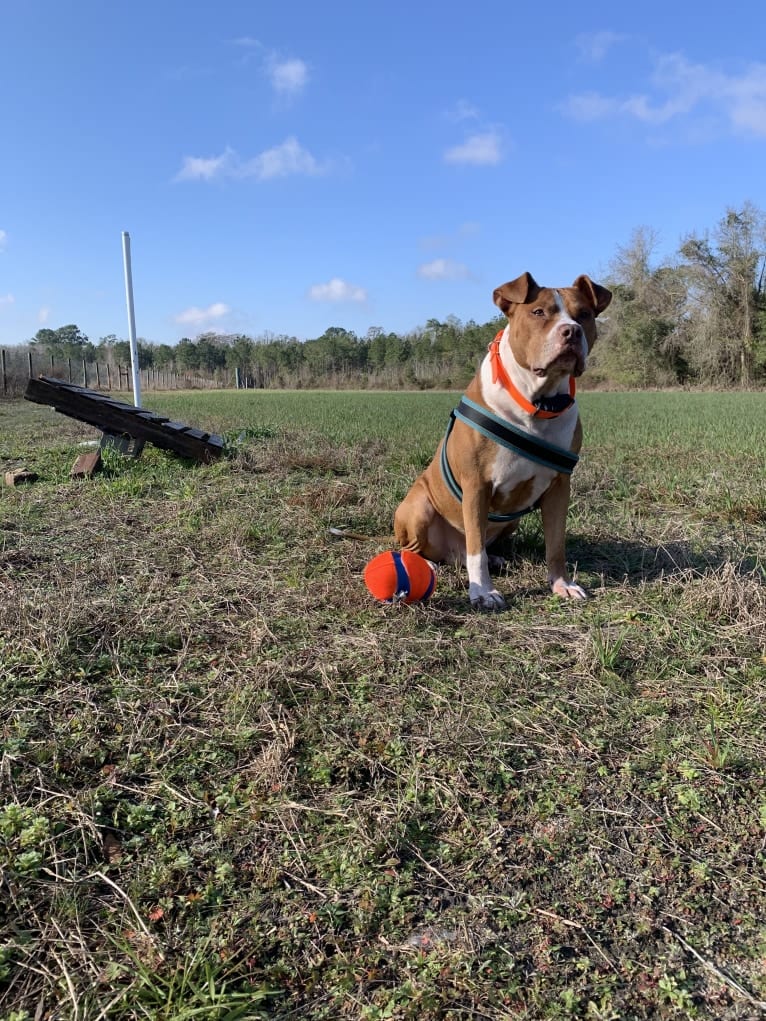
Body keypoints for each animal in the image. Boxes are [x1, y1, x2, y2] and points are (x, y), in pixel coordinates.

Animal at [396, 267, 612, 608]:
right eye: (539, 312)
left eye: (584, 315)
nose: (571, 331)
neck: (537, 401)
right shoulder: (476, 485)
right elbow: (476, 552)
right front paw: (483, 591)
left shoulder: (559, 487)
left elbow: (556, 543)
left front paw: (561, 584)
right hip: (418, 507)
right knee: (427, 548)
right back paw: (425, 564)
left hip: (511, 518)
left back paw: (496, 558)